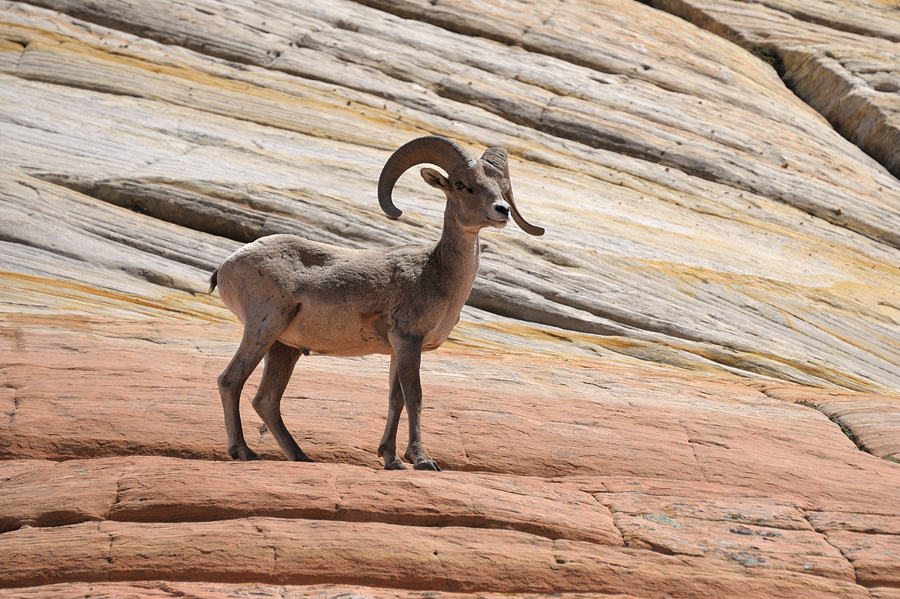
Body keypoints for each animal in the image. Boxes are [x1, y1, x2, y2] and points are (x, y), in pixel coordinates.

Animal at [209, 138, 540, 472]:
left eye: (502, 187)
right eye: (461, 185)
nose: (502, 211)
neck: (436, 273)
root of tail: (227, 265)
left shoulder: (397, 349)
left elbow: (396, 400)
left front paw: (391, 459)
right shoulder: (408, 341)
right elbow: (415, 397)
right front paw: (421, 460)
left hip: (283, 348)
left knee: (266, 400)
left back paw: (301, 456)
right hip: (263, 330)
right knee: (231, 381)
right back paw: (244, 451)